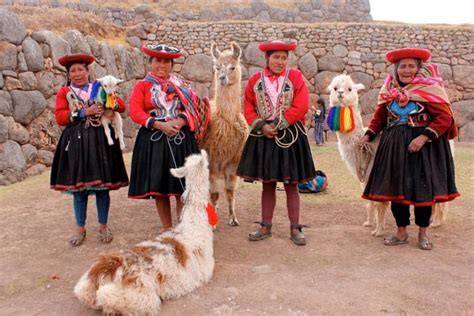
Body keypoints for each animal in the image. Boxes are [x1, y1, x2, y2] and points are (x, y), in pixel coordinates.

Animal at [74, 149, 215, 314]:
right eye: (207, 164)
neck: (194, 226)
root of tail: (105, 270)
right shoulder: (206, 271)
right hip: (141, 296)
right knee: (106, 296)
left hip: (83, 285)